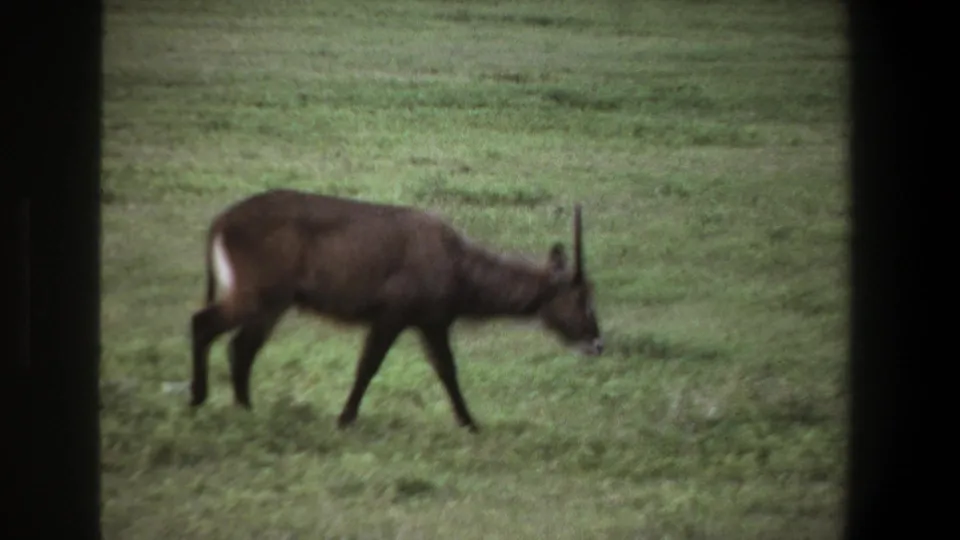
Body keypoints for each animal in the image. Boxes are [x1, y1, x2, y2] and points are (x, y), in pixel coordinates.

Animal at [190, 189, 603, 432]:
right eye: (582, 297)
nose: (598, 343)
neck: (456, 263)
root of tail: (221, 221)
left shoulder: (431, 323)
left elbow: (447, 371)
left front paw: (469, 423)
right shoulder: (393, 316)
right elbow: (369, 366)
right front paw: (345, 419)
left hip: (272, 305)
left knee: (241, 347)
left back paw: (246, 409)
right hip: (258, 296)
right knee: (203, 324)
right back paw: (198, 399)